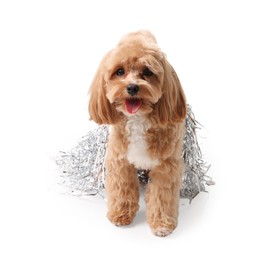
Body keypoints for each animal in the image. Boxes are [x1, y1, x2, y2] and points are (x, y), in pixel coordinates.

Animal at [88, 30, 186, 236]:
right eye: (119, 71)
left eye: (148, 72)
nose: (132, 87)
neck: (139, 120)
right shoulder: (120, 162)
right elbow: (122, 189)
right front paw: (120, 214)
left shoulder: (166, 167)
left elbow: (161, 196)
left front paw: (162, 223)